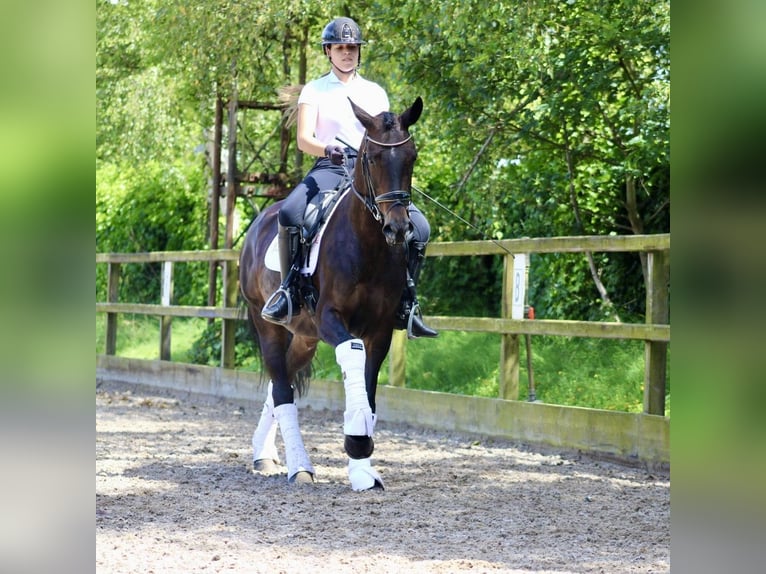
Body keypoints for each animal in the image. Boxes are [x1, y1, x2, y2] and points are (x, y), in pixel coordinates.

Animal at [240, 97, 426, 492]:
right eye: (371, 157)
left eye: (412, 156)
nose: (398, 228)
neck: (367, 246)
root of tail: (259, 224)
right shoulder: (329, 319)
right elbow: (352, 358)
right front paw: (357, 441)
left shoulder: (380, 330)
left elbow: (368, 387)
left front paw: (363, 468)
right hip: (269, 325)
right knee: (282, 390)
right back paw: (299, 466)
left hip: (304, 337)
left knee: (282, 382)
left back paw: (263, 453)